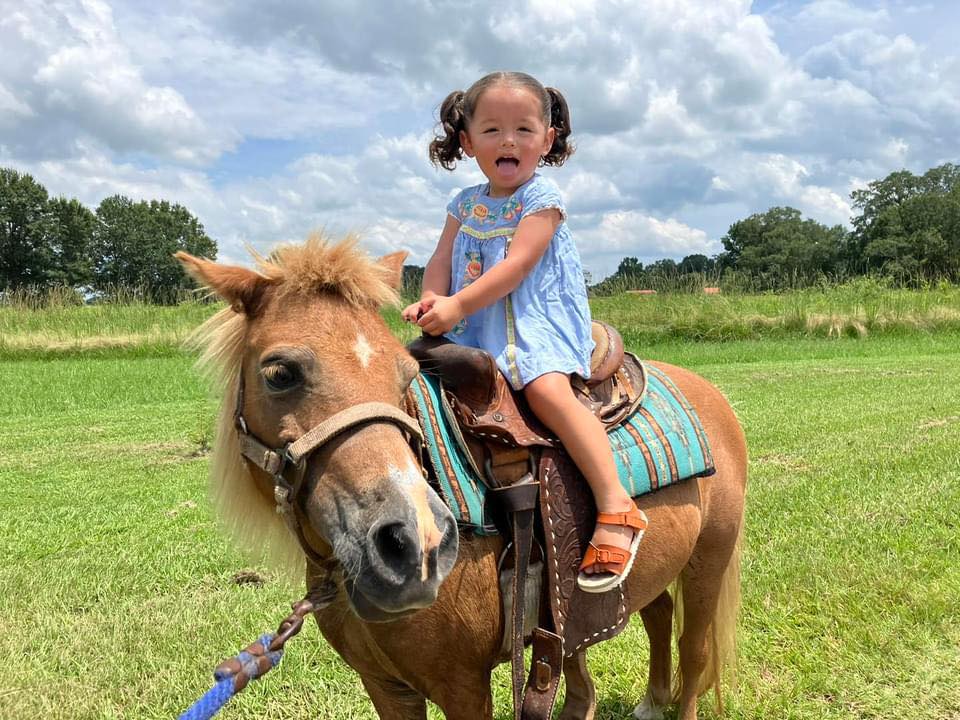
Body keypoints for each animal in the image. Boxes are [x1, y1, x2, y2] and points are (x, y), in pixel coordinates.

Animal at [177, 234, 747, 720]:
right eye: (279, 373)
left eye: (405, 374)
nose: (417, 544)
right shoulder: (385, 687)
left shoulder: (462, 684)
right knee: (656, 611)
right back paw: (651, 701)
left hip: (709, 560)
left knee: (694, 651)